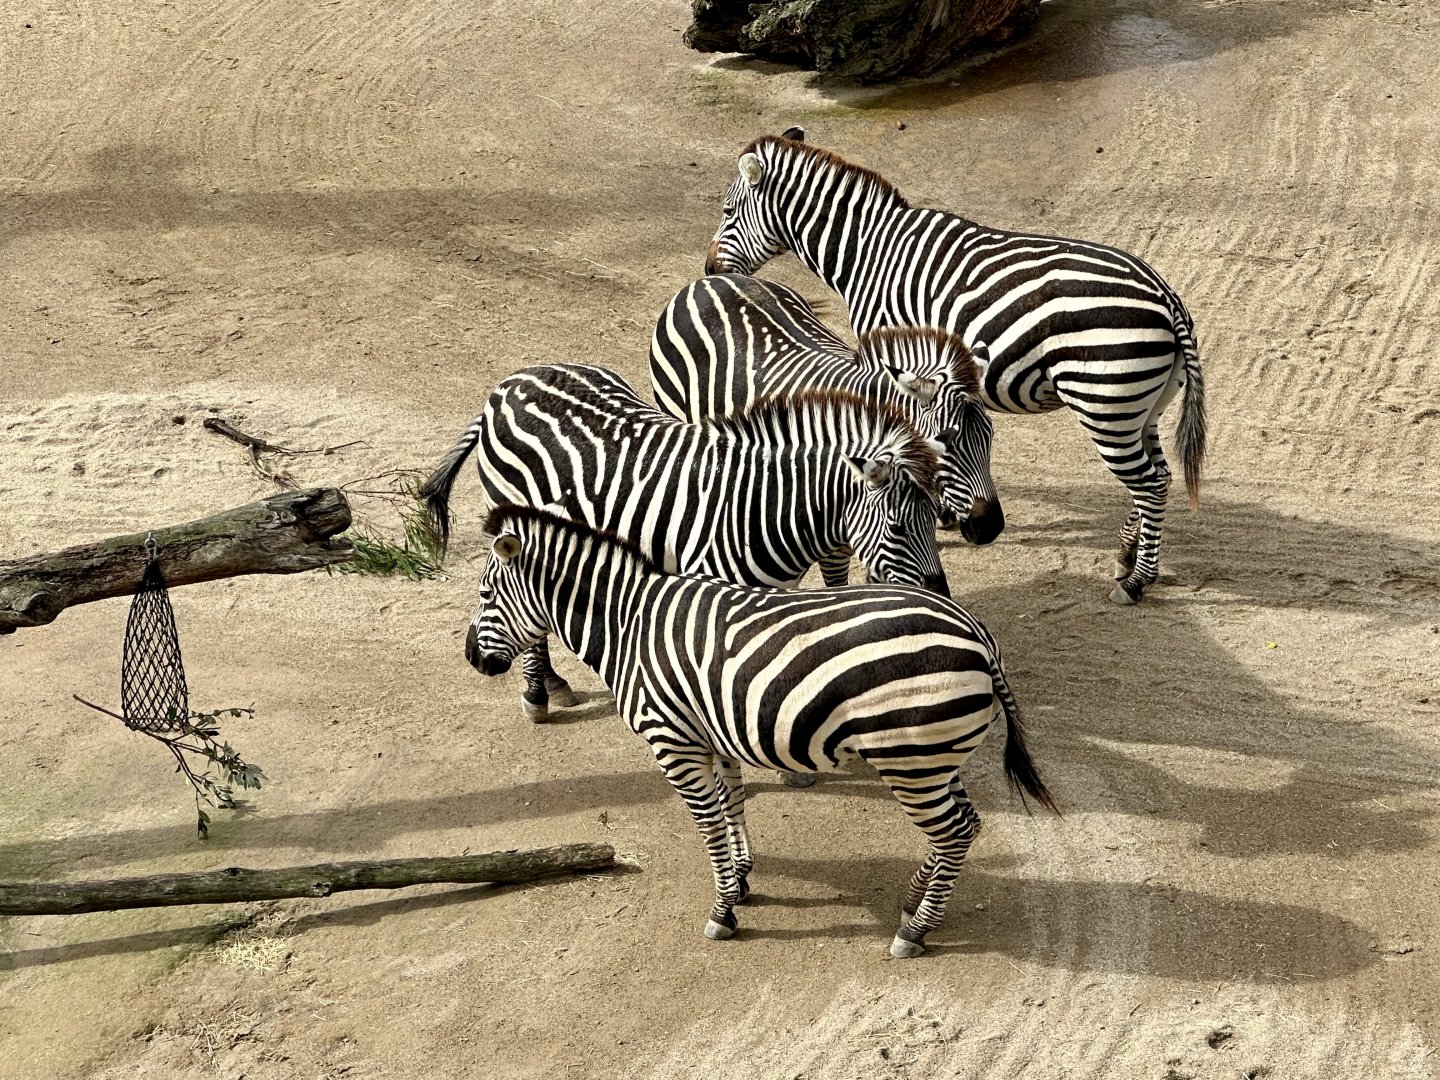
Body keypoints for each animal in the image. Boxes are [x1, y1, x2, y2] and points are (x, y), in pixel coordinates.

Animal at [419, 362, 950, 726]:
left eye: (936, 520)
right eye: (899, 527)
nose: (940, 596)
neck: (763, 505)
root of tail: (510, 383)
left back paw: (551, 680)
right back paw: (537, 693)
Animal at [466, 505, 1058, 957]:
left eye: (487, 596)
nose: (472, 657)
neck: (629, 624)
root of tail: (978, 635)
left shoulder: (672, 743)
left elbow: (707, 824)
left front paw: (724, 910)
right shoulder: (715, 731)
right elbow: (733, 802)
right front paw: (742, 878)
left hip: (910, 759)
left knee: (953, 831)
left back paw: (915, 931)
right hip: (934, 755)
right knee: (966, 823)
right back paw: (916, 896)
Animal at [704, 128, 1207, 605]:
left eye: (728, 211)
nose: (709, 270)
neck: (870, 251)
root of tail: (1167, 296)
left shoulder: (892, 354)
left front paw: (939, 510)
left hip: (1105, 404)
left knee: (1149, 483)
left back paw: (1137, 581)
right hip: (1144, 405)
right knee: (1159, 475)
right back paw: (1125, 555)